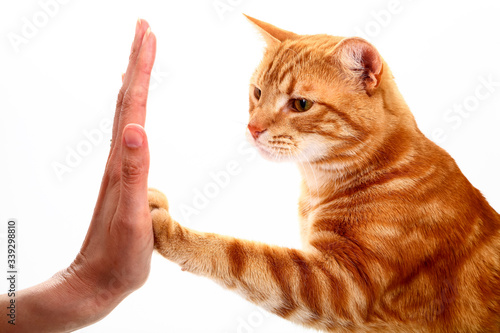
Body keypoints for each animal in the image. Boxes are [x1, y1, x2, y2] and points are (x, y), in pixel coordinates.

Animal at [148, 16, 500, 332]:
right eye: (258, 93)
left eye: (301, 104)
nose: (253, 128)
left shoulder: (340, 285)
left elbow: (238, 255)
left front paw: (172, 231)